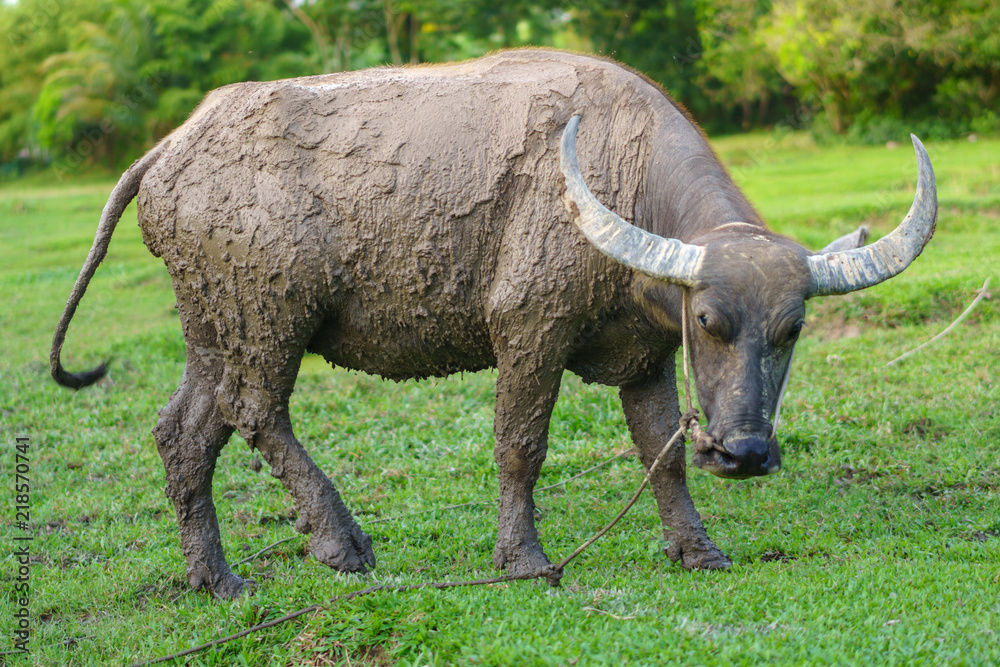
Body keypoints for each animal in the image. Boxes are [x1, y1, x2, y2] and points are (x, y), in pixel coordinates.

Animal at [52, 50, 936, 598]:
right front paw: (524, 559)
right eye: (710, 318)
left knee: (186, 431)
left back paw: (219, 579)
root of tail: (172, 148)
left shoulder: (647, 355)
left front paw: (698, 548)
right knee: (257, 409)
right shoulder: (529, 329)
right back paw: (340, 541)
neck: (618, 167)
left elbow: (664, 453)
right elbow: (522, 445)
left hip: (215, 322)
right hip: (270, 311)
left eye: (793, 328)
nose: (748, 453)